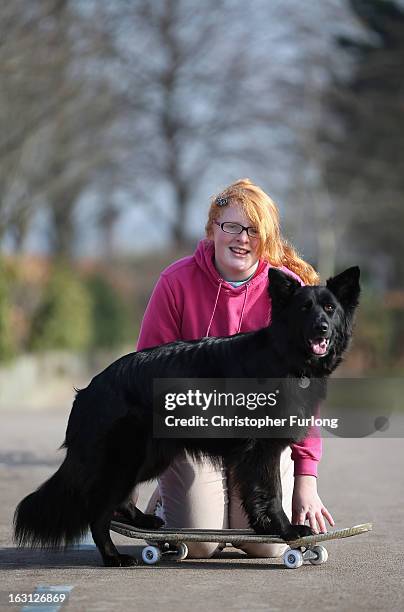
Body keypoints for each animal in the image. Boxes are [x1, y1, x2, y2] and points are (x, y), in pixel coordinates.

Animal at [14, 266, 360, 568]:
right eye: (304, 309)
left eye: (330, 308)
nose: (321, 328)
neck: (283, 356)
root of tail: (87, 391)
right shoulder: (260, 450)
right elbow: (270, 492)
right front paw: (285, 530)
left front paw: (269, 528)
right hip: (125, 460)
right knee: (98, 514)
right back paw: (113, 557)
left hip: (151, 456)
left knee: (120, 501)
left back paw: (146, 522)